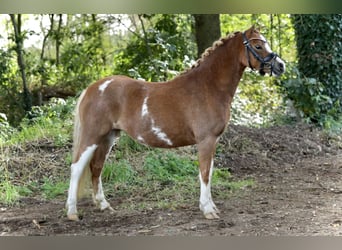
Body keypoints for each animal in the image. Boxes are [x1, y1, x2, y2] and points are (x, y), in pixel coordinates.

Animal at [65, 25, 284, 221]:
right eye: (258, 46)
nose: (281, 66)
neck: (208, 87)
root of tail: (92, 88)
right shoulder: (206, 140)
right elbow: (205, 173)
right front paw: (208, 210)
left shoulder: (213, 141)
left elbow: (209, 172)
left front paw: (211, 206)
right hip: (92, 136)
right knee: (76, 167)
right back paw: (72, 212)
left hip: (108, 137)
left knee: (97, 167)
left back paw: (104, 205)